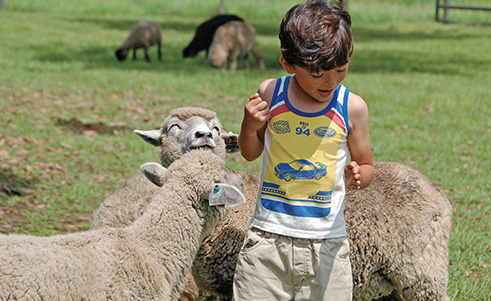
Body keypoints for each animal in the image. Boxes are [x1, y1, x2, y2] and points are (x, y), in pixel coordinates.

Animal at [92, 106, 454, 298]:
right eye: (173, 127)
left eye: (216, 128)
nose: (203, 136)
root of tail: (437, 190)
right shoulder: (213, 289)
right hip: (389, 284)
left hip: (423, 274)